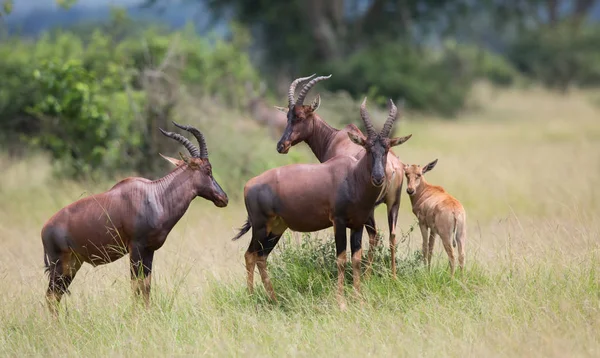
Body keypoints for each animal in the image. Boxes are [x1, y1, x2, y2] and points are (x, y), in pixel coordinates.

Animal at [39, 121, 227, 314]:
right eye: (208, 169)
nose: (223, 198)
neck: (156, 196)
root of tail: (44, 229)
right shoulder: (135, 248)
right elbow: (136, 286)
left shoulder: (149, 250)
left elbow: (146, 286)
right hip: (60, 264)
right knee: (51, 296)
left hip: (73, 264)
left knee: (56, 295)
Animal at [232, 97, 410, 308]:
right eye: (367, 147)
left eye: (387, 148)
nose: (378, 178)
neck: (351, 174)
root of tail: (248, 185)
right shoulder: (338, 222)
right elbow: (341, 259)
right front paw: (340, 302)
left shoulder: (357, 224)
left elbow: (356, 258)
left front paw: (358, 298)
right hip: (260, 227)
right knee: (250, 255)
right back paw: (252, 298)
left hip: (276, 228)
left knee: (261, 257)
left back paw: (273, 300)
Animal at [276, 74, 408, 278]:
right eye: (288, 116)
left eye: (300, 116)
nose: (281, 145)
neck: (336, 138)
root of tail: (393, 167)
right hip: (394, 203)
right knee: (391, 235)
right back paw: (392, 277)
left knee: (374, 235)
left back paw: (367, 275)